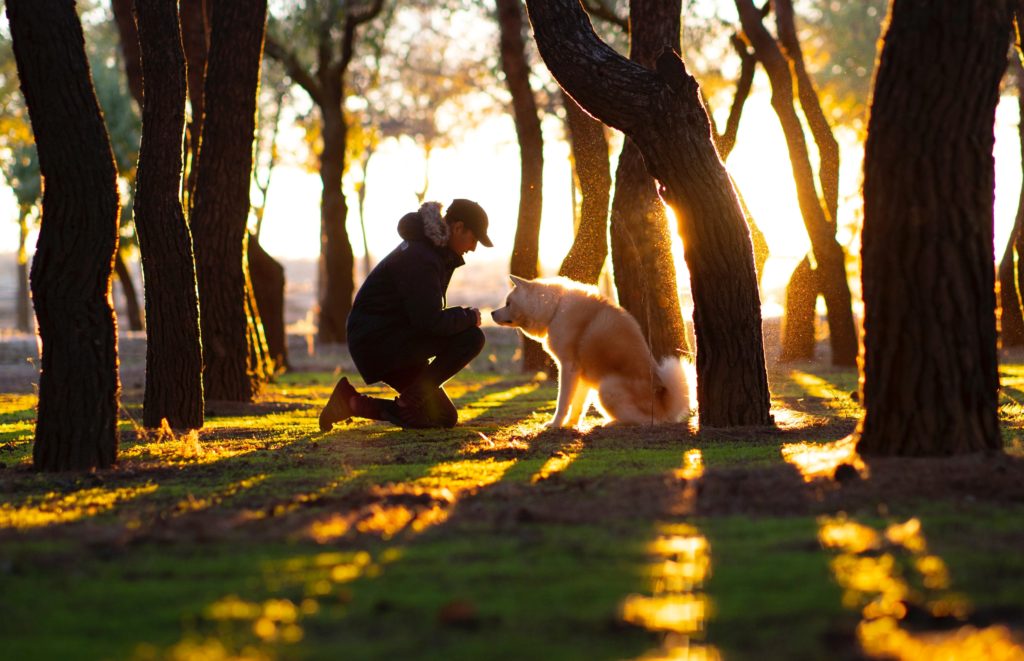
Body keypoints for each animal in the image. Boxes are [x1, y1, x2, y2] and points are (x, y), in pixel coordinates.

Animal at [491, 276, 692, 427]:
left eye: (508, 303)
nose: (492, 313)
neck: (556, 307)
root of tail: (664, 407)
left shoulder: (568, 368)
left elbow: (563, 402)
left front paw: (556, 424)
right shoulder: (582, 375)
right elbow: (578, 405)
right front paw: (571, 424)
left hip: (606, 389)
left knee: (648, 421)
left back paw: (614, 423)